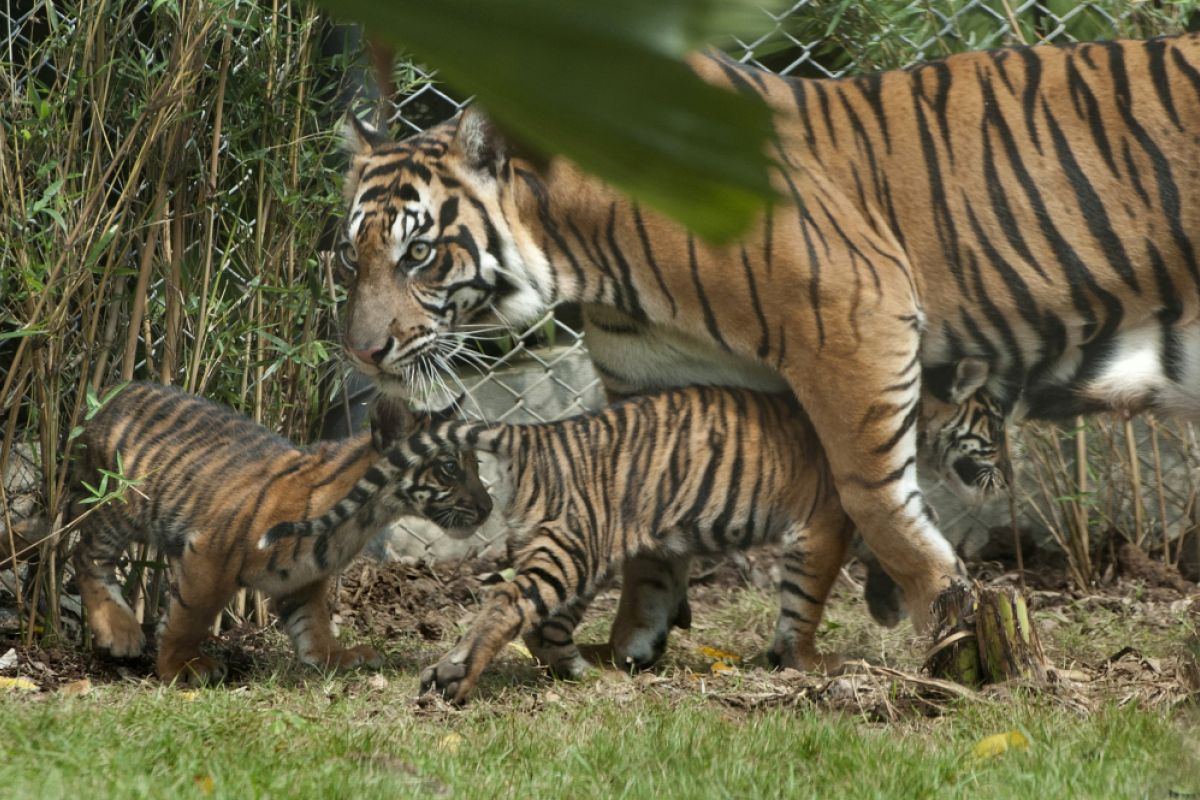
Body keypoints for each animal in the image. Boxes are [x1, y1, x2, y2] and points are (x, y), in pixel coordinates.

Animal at [333, 34, 1200, 642]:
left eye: (418, 254)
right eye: (352, 256)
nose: (364, 352)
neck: (586, 258)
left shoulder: (856, 318)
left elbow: (876, 499)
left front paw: (943, 624)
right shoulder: (655, 382)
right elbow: (645, 522)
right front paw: (630, 646)